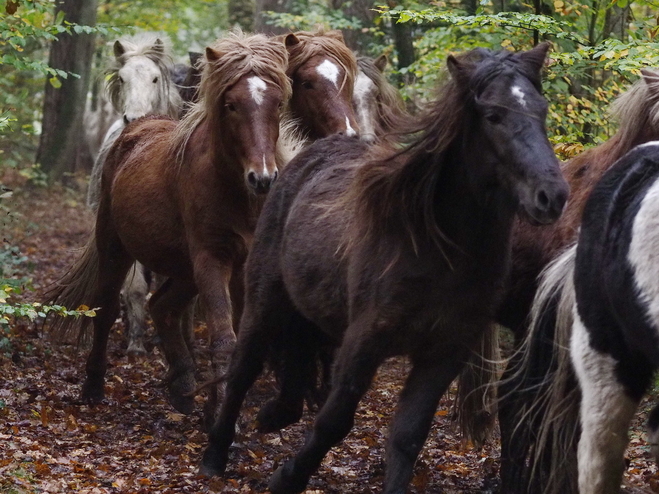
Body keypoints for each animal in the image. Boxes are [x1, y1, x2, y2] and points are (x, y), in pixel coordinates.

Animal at [200, 44, 568, 492]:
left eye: (542, 109)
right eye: (493, 116)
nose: (552, 195)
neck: (438, 247)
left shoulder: (442, 354)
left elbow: (408, 437)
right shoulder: (365, 341)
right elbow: (334, 422)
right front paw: (287, 478)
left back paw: (275, 413)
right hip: (265, 299)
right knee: (242, 370)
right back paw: (215, 454)